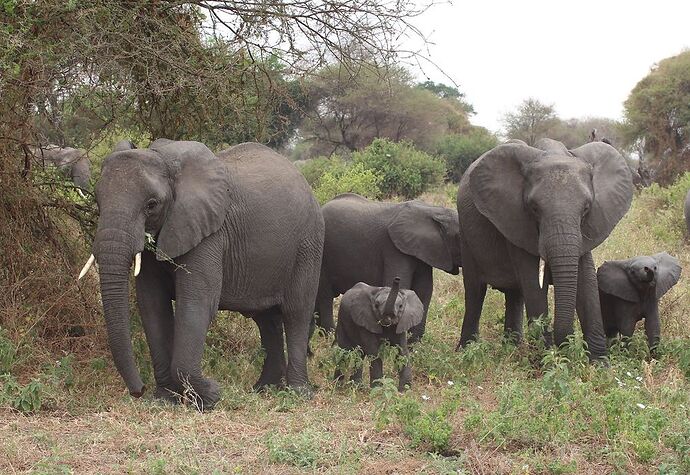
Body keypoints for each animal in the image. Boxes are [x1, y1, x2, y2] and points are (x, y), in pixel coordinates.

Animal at [76, 139, 324, 410]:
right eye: (98, 201)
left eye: (151, 205)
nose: (139, 390)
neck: (165, 159)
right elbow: (152, 304)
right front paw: (166, 399)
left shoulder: (210, 232)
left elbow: (197, 301)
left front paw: (209, 397)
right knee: (266, 319)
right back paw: (263, 389)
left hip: (308, 244)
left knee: (296, 312)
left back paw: (298, 393)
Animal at [314, 192, 460, 342]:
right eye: (461, 236)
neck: (434, 210)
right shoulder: (394, 250)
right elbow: (400, 285)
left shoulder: (421, 253)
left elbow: (424, 291)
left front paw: (414, 343)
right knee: (325, 296)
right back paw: (328, 335)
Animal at [454, 139, 632, 360]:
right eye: (534, 208)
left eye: (586, 209)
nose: (567, 344)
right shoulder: (515, 220)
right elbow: (534, 286)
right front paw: (549, 360)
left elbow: (586, 282)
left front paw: (599, 363)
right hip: (466, 235)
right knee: (474, 291)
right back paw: (466, 351)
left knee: (514, 295)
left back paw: (511, 348)